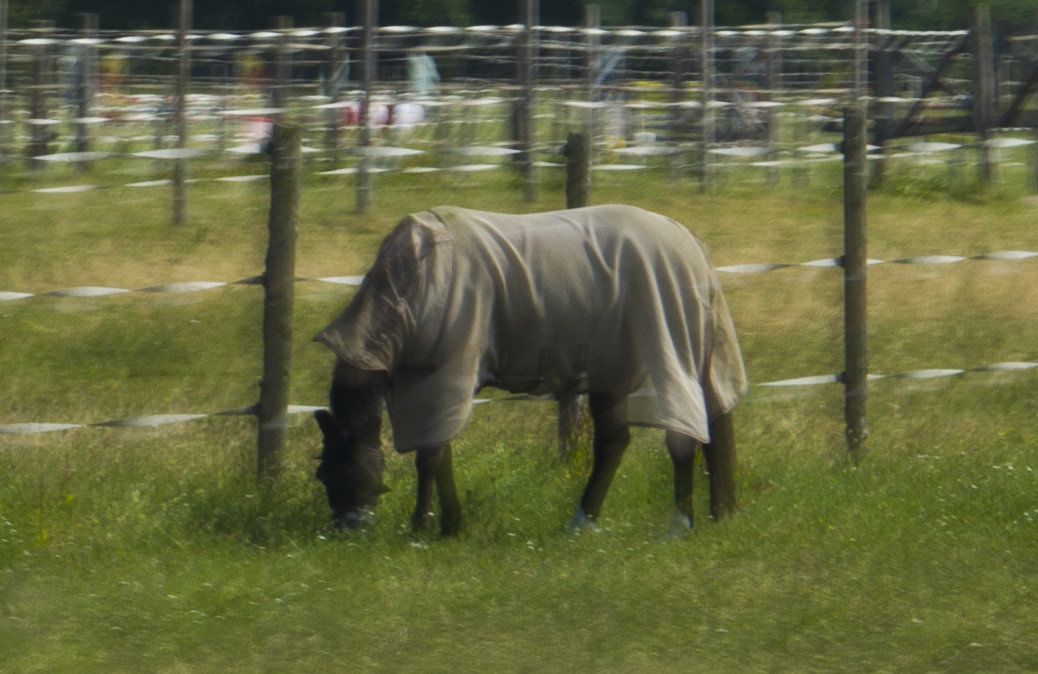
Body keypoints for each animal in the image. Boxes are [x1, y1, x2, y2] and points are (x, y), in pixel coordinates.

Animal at [313, 204, 747, 535]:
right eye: (323, 475)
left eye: (347, 469)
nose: (345, 530)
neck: (414, 281)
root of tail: (691, 245)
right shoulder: (422, 382)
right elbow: (437, 453)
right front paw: (444, 523)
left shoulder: (449, 374)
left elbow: (431, 457)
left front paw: (429, 527)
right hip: (614, 370)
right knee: (628, 441)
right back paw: (588, 522)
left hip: (666, 352)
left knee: (683, 432)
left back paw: (679, 524)